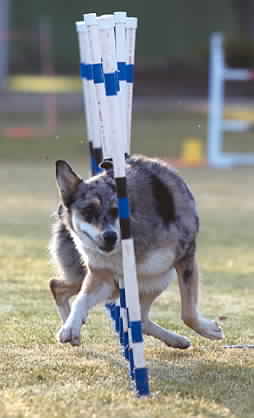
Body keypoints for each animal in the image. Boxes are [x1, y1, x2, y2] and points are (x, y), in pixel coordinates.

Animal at [48, 155, 223, 348]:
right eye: (88, 211)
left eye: (115, 211)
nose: (110, 236)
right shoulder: (101, 276)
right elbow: (81, 299)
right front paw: (70, 327)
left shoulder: (185, 258)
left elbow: (188, 313)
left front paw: (210, 330)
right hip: (121, 283)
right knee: (56, 285)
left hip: (156, 277)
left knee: (143, 320)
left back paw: (177, 340)